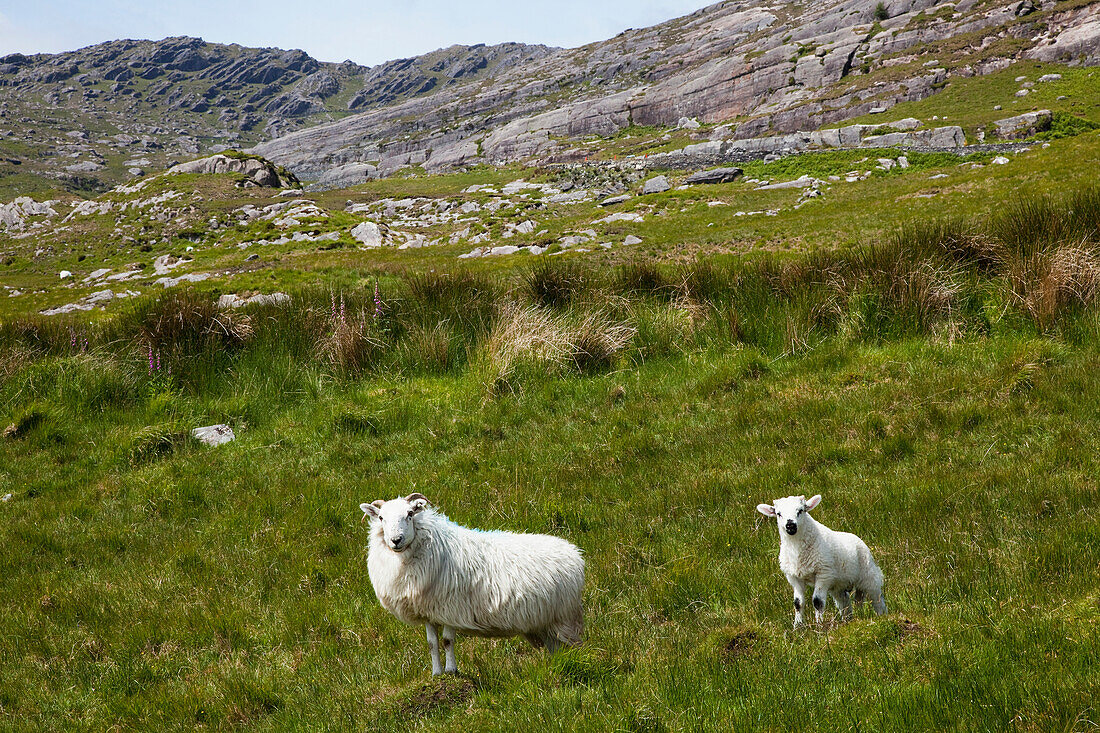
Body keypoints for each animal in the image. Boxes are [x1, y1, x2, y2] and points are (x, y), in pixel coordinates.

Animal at [358, 490, 585, 673]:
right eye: (381, 517)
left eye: (410, 514)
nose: (396, 540)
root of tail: (574, 552)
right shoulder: (428, 611)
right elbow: (432, 644)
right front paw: (436, 673)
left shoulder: (449, 608)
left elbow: (447, 641)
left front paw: (451, 670)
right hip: (545, 625)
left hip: (565, 619)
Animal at [756, 493, 884, 625]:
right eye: (778, 513)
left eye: (800, 510)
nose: (790, 525)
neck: (796, 549)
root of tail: (859, 540)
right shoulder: (794, 577)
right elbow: (798, 603)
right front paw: (798, 626)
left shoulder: (823, 573)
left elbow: (817, 602)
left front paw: (819, 625)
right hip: (838, 585)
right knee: (845, 602)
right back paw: (847, 620)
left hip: (868, 574)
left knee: (877, 597)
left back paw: (882, 616)